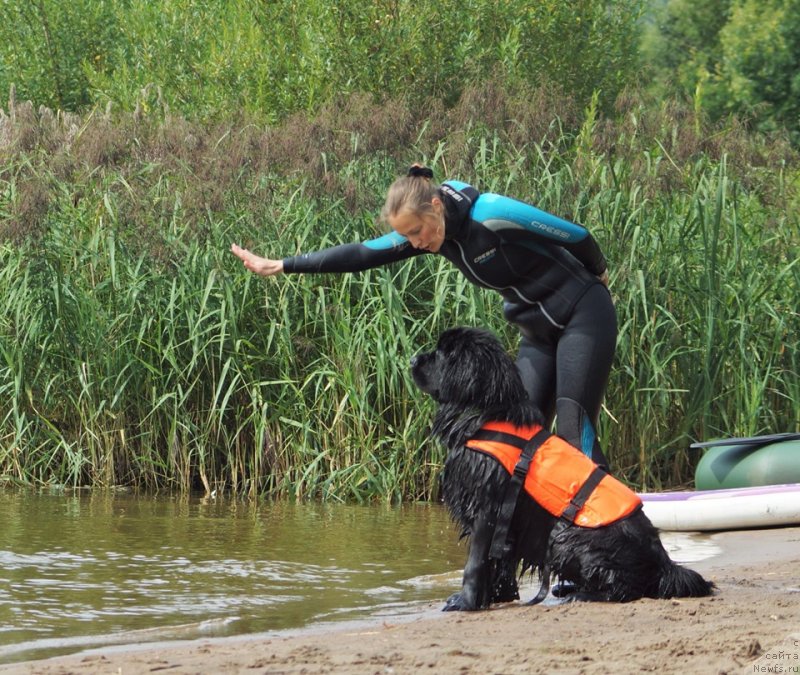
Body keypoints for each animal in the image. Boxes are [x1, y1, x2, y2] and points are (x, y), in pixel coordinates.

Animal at [412, 328, 712, 612]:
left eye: (441, 353)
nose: (413, 359)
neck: (487, 415)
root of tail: (665, 563)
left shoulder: (486, 506)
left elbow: (475, 562)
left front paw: (465, 602)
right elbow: (499, 561)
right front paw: (497, 596)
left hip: (565, 538)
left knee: (625, 588)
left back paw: (582, 594)